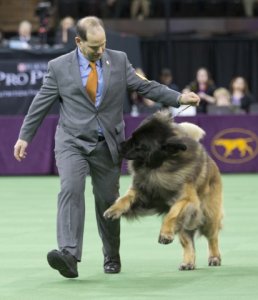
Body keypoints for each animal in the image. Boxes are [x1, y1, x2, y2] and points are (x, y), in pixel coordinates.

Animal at [104, 111, 223, 270]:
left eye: (138, 144)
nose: (118, 146)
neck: (158, 166)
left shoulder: (186, 199)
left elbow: (172, 214)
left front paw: (165, 234)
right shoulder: (142, 192)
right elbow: (125, 198)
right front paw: (113, 209)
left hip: (208, 215)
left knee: (212, 236)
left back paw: (214, 257)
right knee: (188, 242)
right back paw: (188, 262)